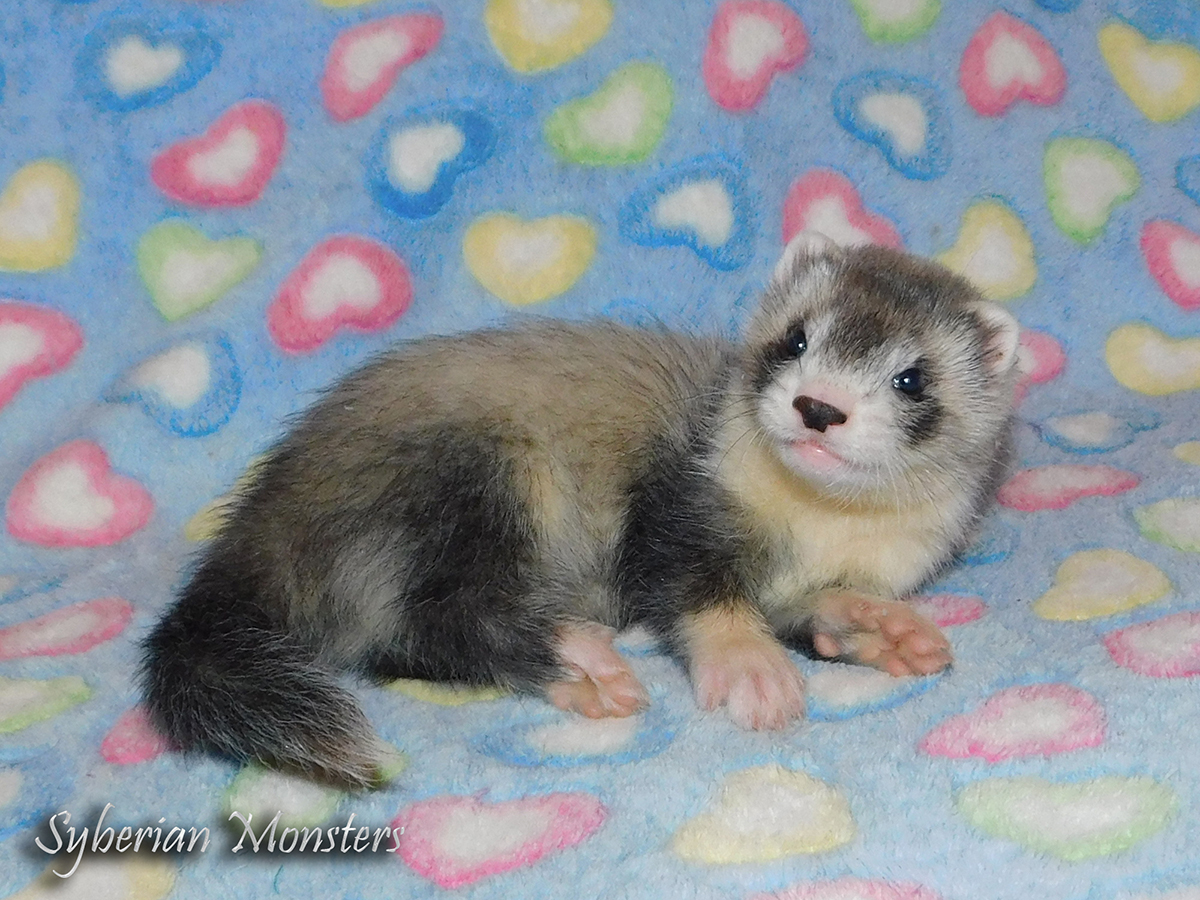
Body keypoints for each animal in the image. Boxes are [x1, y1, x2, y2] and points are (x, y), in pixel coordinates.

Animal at [141, 232, 1020, 788]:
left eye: (912, 377)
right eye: (797, 338)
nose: (820, 406)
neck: (816, 531)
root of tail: (267, 511)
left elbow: (820, 610)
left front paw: (881, 629)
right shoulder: (679, 509)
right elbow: (690, 589)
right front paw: (748, 666)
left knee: (399, 647)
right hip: (488, 478)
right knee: (442, 618)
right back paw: (581, 660)